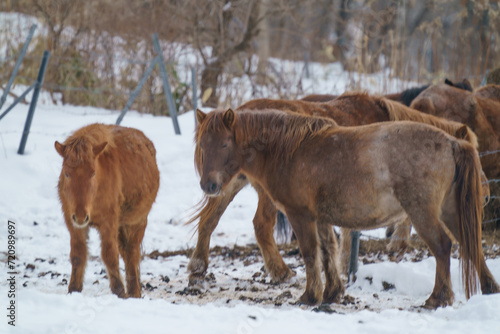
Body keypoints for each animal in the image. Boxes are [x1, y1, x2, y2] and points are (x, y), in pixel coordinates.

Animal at [54, 122, 158, 298]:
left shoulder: (108, 223)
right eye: (67, 174)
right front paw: (74, 289)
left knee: (132, 254)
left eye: (93, 173)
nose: (81, 216)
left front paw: (119, 291)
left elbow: (109, 255)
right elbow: (78, 255)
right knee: (126, 253)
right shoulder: (73, 223)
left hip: (137, 222)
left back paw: (133, 292)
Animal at [197, 108, 498, 310]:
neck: (290, 151)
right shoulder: (320, 218)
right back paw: (489, 288)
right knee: (470, 244)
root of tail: (452, 143)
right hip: (450, 211)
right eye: (201, 144)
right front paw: (332, 292)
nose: (208, 185)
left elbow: (310, 253)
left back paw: (438, 298)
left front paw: (310, 295)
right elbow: (328, 250)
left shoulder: (300, 215)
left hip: (423, 213)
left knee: (443, 246)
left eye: (224, 143)